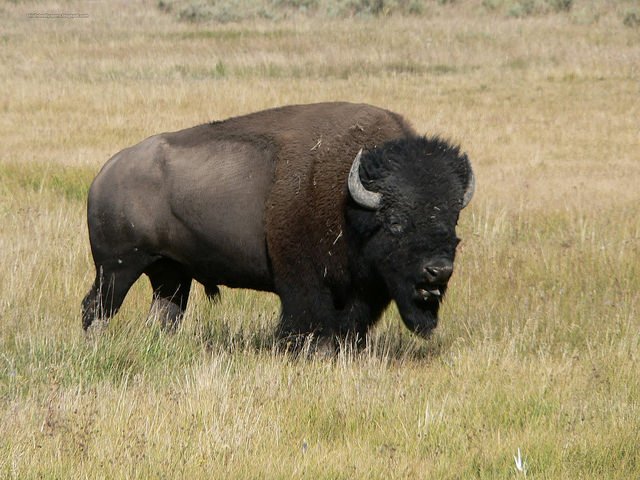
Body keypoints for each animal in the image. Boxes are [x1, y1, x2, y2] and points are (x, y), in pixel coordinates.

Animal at [81, 103, 476, 346]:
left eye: (452, 219)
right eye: (395, 222)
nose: (437, 271)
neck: (350, 202)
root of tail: (105, 173)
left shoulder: (359, 293)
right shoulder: (305, 285)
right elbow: (309, 324)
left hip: (171, 274)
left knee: (164, 314)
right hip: (116, 269)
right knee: (95, 309)